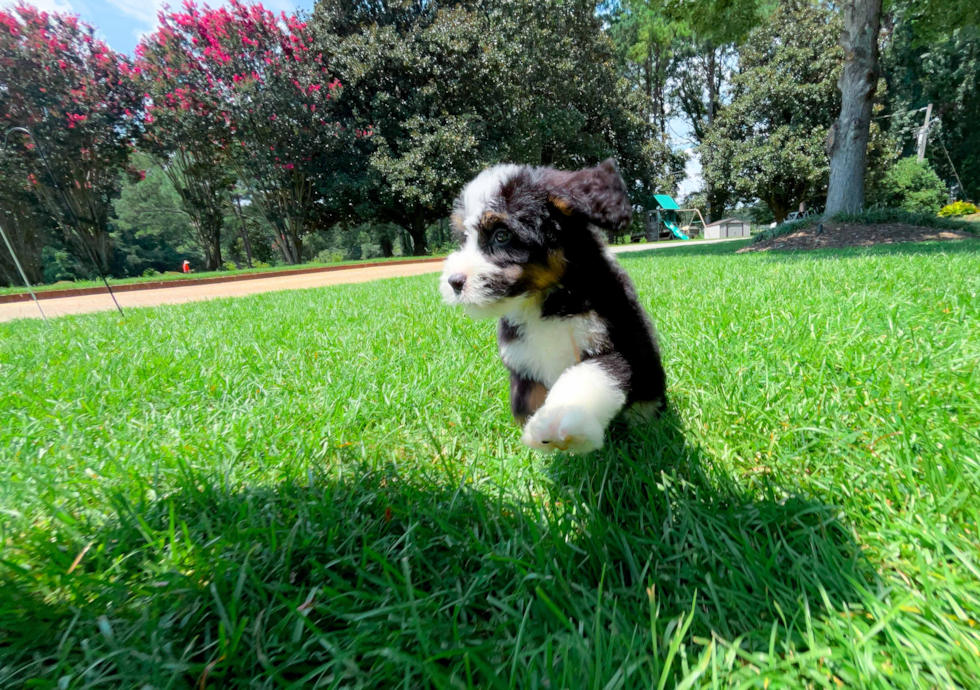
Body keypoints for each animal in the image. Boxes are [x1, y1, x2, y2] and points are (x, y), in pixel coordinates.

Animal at [442, 159, 668, 454]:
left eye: (501, 235)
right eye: (464, 237)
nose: (454, 282)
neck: (547, 301)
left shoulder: (616, 346)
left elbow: (586, 377)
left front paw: (560, 422)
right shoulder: (522, 361)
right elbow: (524, 403)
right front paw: (534, 431)